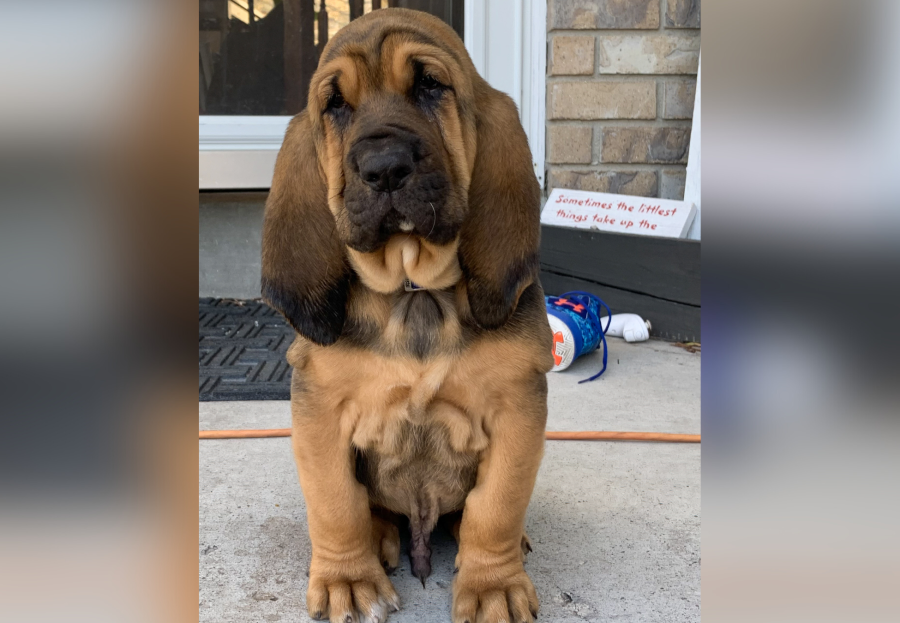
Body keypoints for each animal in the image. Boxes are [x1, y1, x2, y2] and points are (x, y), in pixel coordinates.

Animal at [260, 6, 552, 623]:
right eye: (335, 105)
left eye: (430, 85)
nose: (384, 168)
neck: (413, 288)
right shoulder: (319, 414)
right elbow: (335, 503)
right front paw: (348, 580)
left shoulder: (518, 408)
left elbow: (497, 505)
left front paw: (493, 584)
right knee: (372, 509)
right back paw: (380, 538)